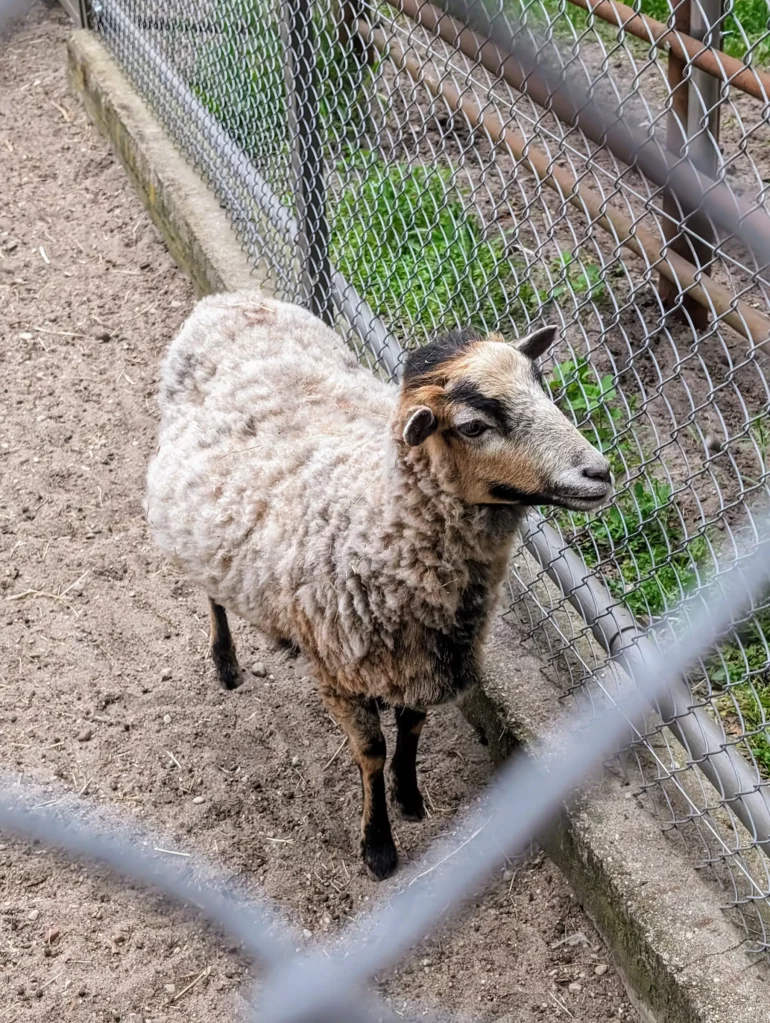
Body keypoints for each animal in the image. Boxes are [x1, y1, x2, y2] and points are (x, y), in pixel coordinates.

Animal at [145, 290, 612, 880]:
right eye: (473, 426)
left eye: (541, 384)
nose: (599, 473)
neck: (375, 523)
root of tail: (227, 299)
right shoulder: (339, 674)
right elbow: (370, 752)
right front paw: (378, 846)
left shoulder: (422, 659)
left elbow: (411, 728)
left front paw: (410, 798)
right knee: (212, 595)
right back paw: (225, 663)